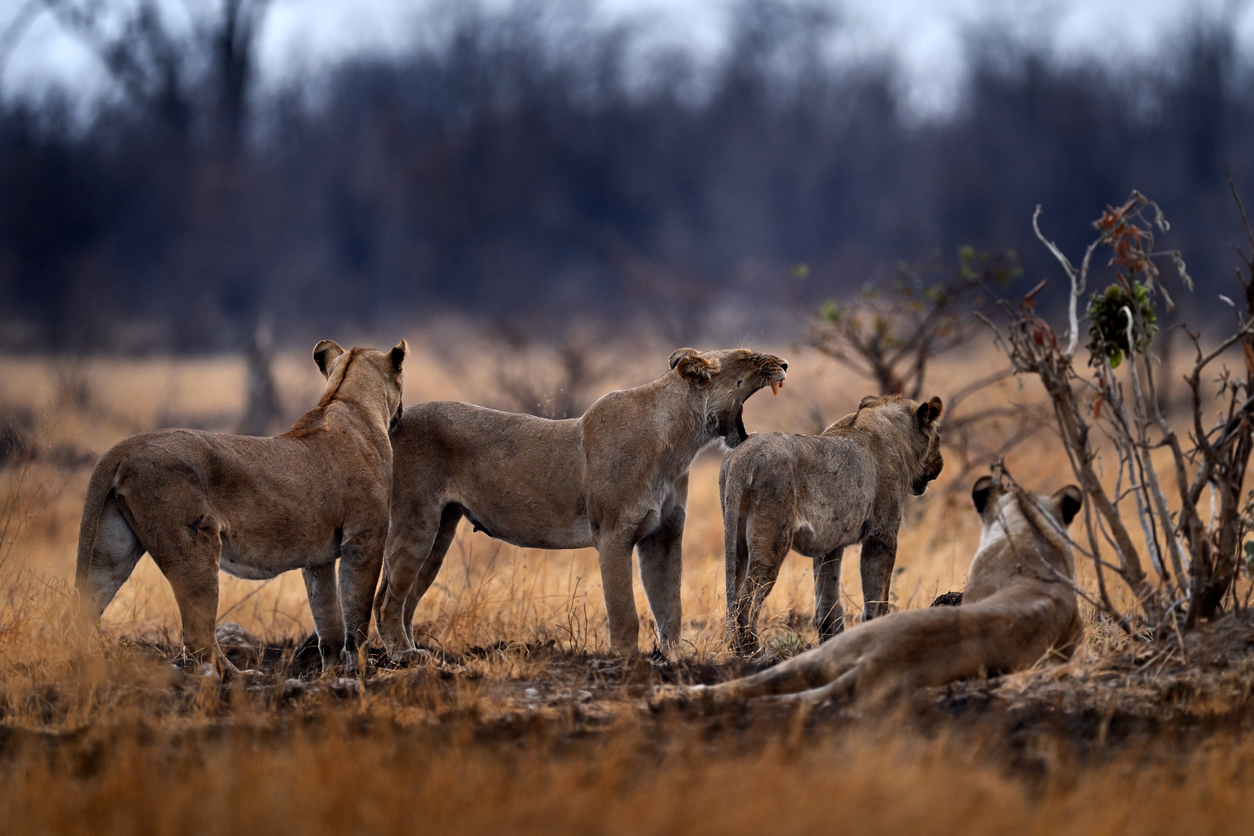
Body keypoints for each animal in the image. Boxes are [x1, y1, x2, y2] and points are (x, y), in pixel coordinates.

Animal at [73, 339, 407, 675]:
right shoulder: (364, 539)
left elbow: (328, 621)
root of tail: (121, 449)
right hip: (194, 549)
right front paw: (361, 668)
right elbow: (357, 612)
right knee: (197, 634)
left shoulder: (318, 559)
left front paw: (331, 673)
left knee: (82, 612)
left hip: (111, 549)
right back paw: (237, 676)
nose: (401, 413)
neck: (348, 401)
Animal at [373, 347, 789, 659]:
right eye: (748, 358)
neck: (680, 443)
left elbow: (670, 605)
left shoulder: (664, 537)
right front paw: (627, 661)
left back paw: (403, 651)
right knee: (390, 598)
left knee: (399, 597)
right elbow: (624, 611)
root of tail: (392, 423)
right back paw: (402, 655)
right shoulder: (614, 535)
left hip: (440, 534)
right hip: (416, 525)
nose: (784, 364)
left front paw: (672, 658)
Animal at [721, 394, 944, 653]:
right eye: (939, 438)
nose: (941, 464)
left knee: (733, 588)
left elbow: (828, 602)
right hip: (773, 535)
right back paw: (751, 650)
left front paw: (832, 642)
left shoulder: (829, 544)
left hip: (735, 535)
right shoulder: (882, 534)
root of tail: (742, 456)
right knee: (746, 595)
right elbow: (877, 595)